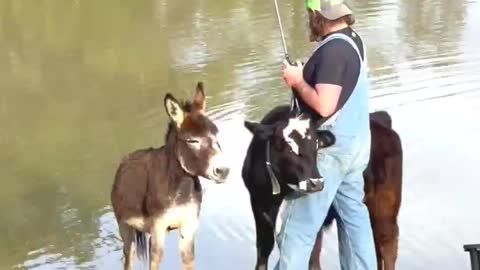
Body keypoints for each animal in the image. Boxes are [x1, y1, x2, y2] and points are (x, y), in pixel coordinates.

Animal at [109, 82, 230, 270]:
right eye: (192, 140)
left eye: (216, 135)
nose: (223, 170)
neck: (180, 189)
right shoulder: (158, 226)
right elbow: (155, 261)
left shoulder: (189, 226)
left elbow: (188, 260)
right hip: (125, 226)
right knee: (129, 256)